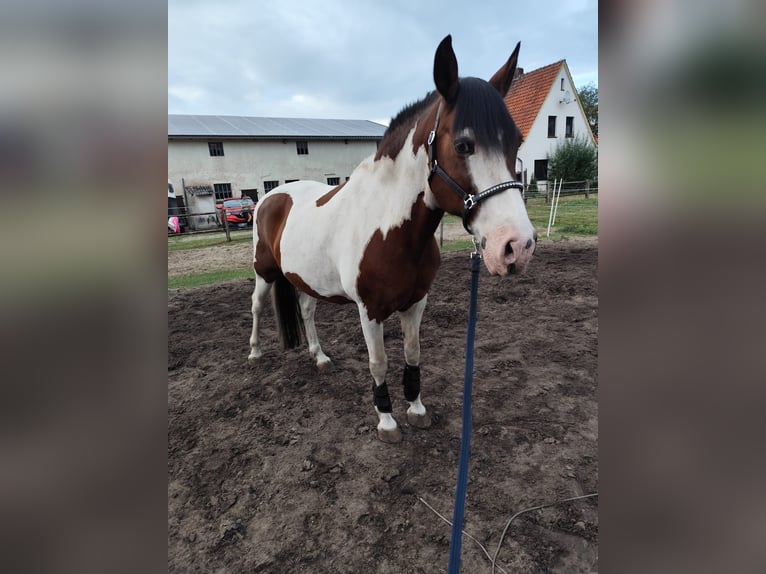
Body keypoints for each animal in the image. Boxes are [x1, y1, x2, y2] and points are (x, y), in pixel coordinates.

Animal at [248, 35, 537, 443]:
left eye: (516, 142)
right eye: (463, 145)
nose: (517, 246)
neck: (391, 231)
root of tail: (272, 196)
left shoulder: (416, 302)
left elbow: (413, 353)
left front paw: (416, 408)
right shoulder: (369, 310)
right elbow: (379, 362)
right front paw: (386, 419)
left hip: (303, 277)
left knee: (306, 310)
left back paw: (319, 357)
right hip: (264, 272)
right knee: (256, 306)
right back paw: (255, 353)